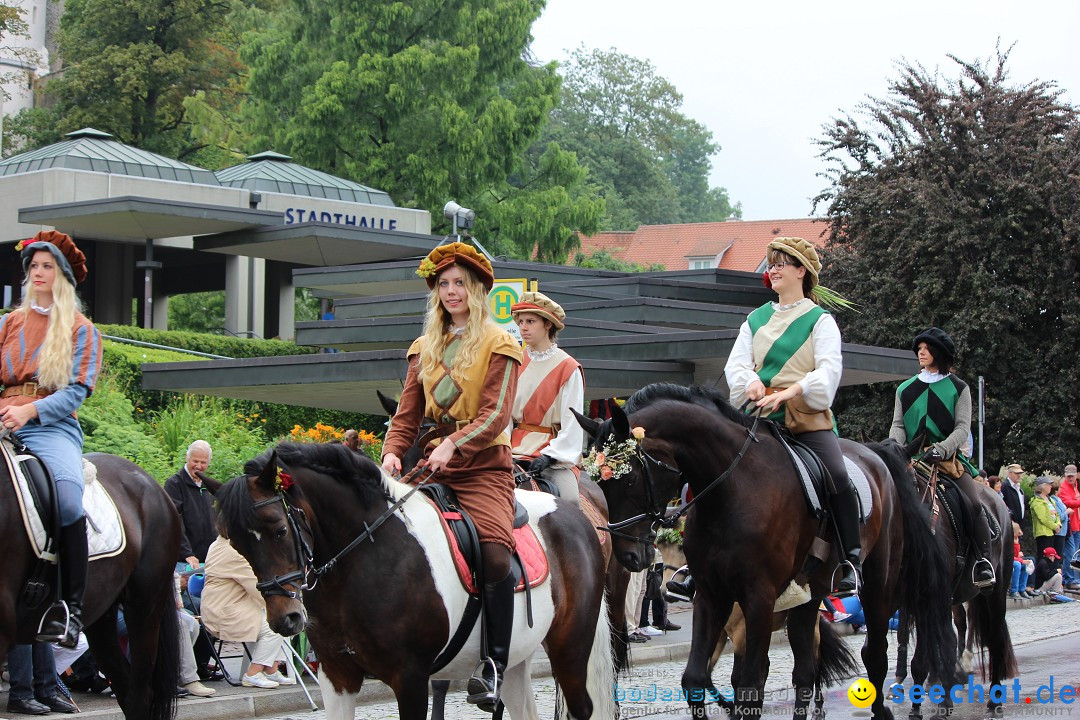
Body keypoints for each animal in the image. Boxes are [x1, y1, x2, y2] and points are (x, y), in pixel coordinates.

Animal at [214, 444, 617, 720]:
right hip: (518, 657)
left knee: (582, 707)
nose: (286, 619)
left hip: (570, 647)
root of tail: (576, 515)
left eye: (279, 529)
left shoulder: (409, 677)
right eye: (235, 542)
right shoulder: (336, 675)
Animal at [574, 386, 954, 720]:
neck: (730, 490)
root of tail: (876, 457)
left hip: (878, 585)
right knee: (805, 670)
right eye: (600, 482)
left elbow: (750, 683)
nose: (629, 556)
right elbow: (695, 679)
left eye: (628, 478)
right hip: (808, 598)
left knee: (873, 654)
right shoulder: (712, 595)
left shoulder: (758, 598)